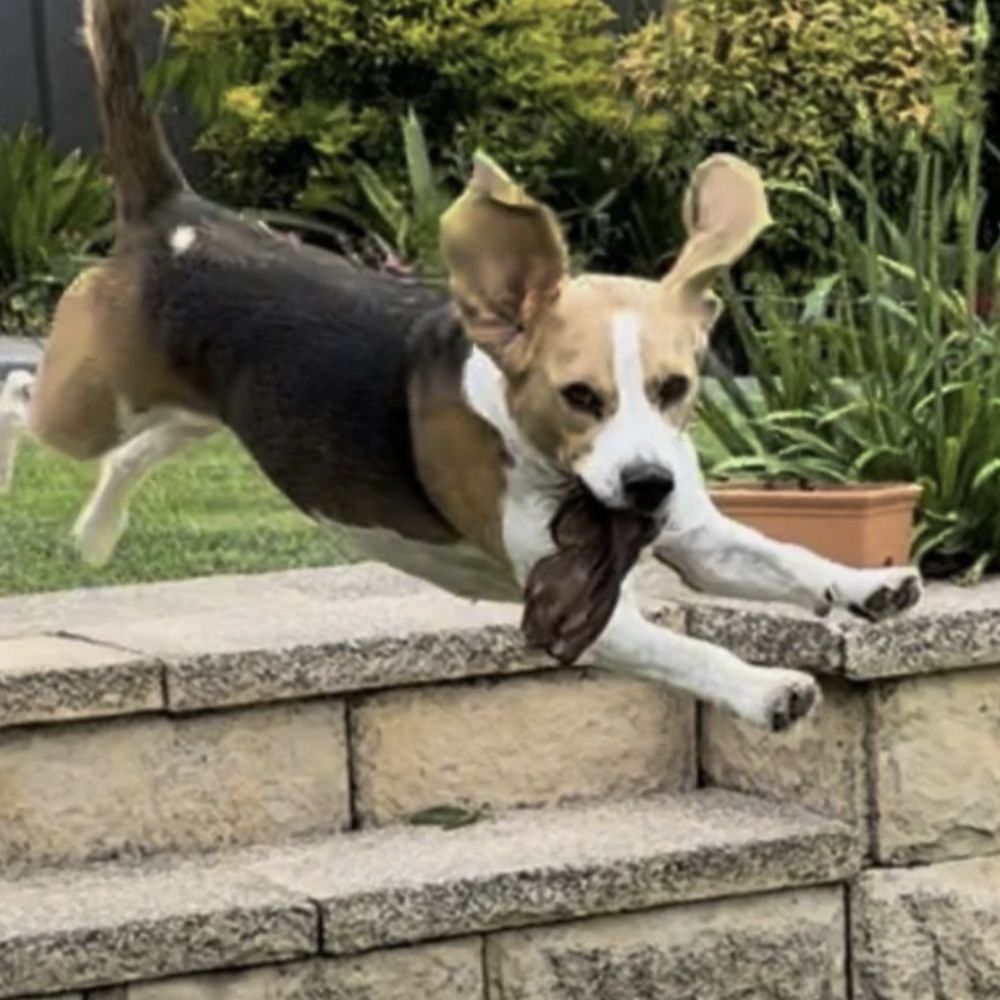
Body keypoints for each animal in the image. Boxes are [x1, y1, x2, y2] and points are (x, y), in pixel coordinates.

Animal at [0, 0, 920, 732]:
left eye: (674, 389)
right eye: (578, 396)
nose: (648, 483)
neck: (537, 452)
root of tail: (174, 215)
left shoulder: (697, 537)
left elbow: (783, 556)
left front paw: (863, 586)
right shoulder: (585, 612)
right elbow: (687, 654)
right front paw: (767, 692)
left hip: (200, 409)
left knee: (136, 451)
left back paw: (97, 530)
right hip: (85, 402)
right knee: (20, 394)